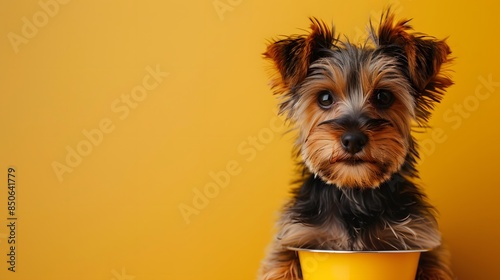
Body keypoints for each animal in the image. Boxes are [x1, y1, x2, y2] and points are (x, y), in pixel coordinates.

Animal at [260, 9, 456, 278]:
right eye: (325, 98)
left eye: (384, 96)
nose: (353, 140)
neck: (354, 192)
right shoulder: (299, 234)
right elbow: (278, 261)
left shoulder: (417, 237)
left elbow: (434, 263)